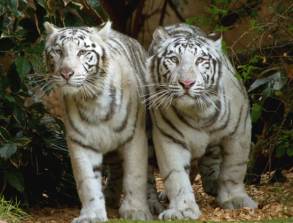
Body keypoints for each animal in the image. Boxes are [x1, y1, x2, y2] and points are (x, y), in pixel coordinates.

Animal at [44, 20, 153, 221]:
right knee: (116, 170)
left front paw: (136, 211)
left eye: (82, 52)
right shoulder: (81, 143)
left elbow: (135, 175)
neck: (92, 99)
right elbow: (87, 182)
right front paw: (92, 215)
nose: (66, 73)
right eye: (58, 51)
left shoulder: (135, 138)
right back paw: (110, 197)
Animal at [146, 24, 256, 220]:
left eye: (200, 60)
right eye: (174, 59)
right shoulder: (170, 138)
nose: (187, 83)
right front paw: (182, 209)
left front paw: (235, 200)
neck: (199, 113)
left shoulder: (239, 133)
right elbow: (176, 175)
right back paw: (153, 203)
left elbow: (234, 169)